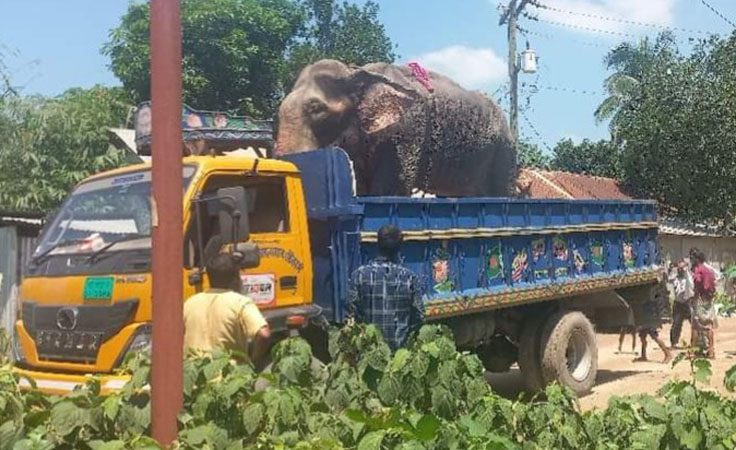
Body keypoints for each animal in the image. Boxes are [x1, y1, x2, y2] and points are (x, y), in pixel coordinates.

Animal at [276, 58, 516, 197]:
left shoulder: (407, 133)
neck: (358, 72)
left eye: (317, 109)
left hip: (504, 150)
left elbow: (390, 188)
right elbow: (362, 189)